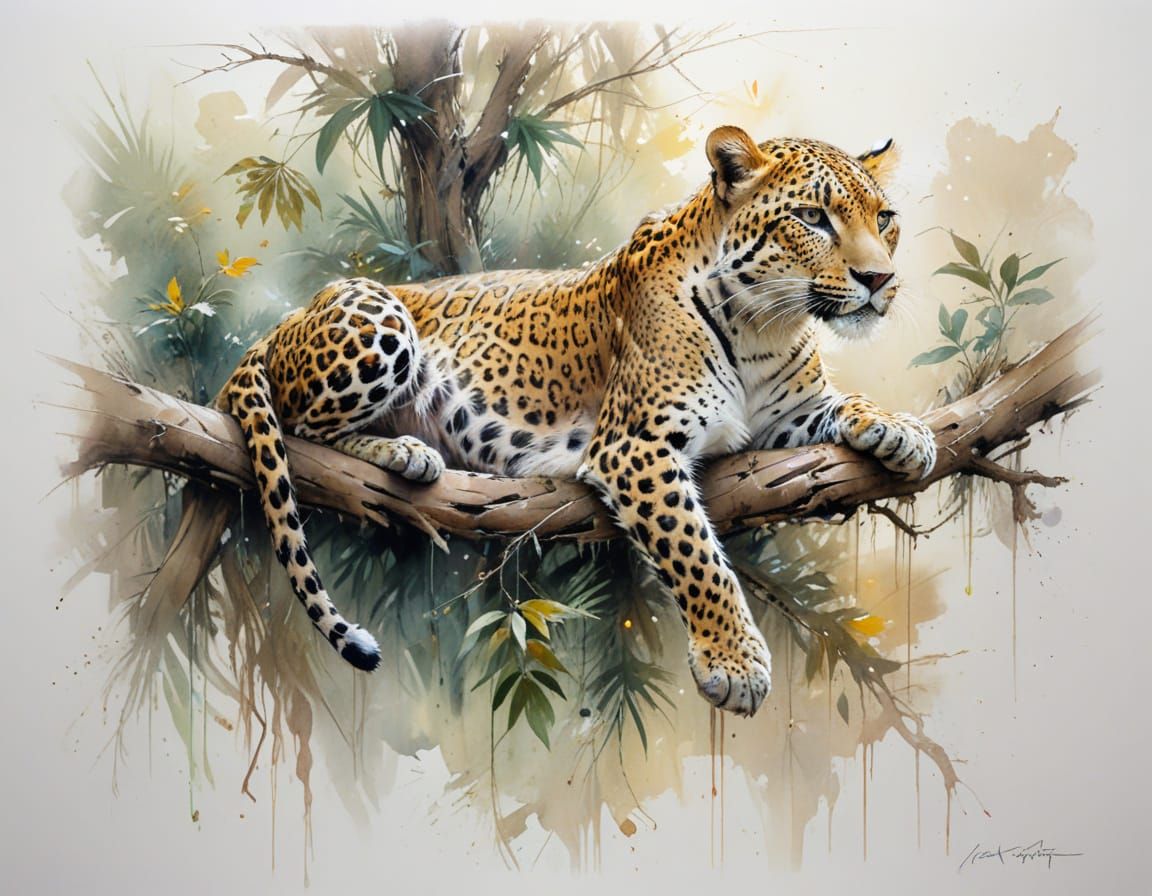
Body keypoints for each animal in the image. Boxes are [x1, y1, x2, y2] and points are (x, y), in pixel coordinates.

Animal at [216, 125, 936, 717]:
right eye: (812, 218)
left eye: (884, 218)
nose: (879, 280)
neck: (768, 325)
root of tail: (294, 314)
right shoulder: (635, 446)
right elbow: (697, 555)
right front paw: (733, 661)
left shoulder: (785, 418)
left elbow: (844, 404)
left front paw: (906, 431)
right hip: (379, 316)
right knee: (302, 430)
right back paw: (404, 452)